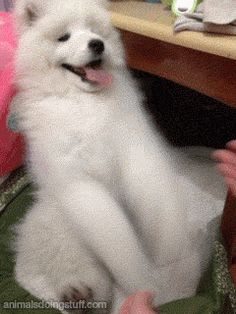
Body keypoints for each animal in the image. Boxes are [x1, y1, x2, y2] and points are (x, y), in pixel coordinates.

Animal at [12, 1, 223, 312]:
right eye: (64, 37)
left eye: (95, 31)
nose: (97, 44)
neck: (84, 101)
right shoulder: (82, 183)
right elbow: (116, 236)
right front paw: (138, 276)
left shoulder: (135, 151)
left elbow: (156, 202)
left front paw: (166, 242)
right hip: (59, 226)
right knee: (75, 264)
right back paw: (80, 293)